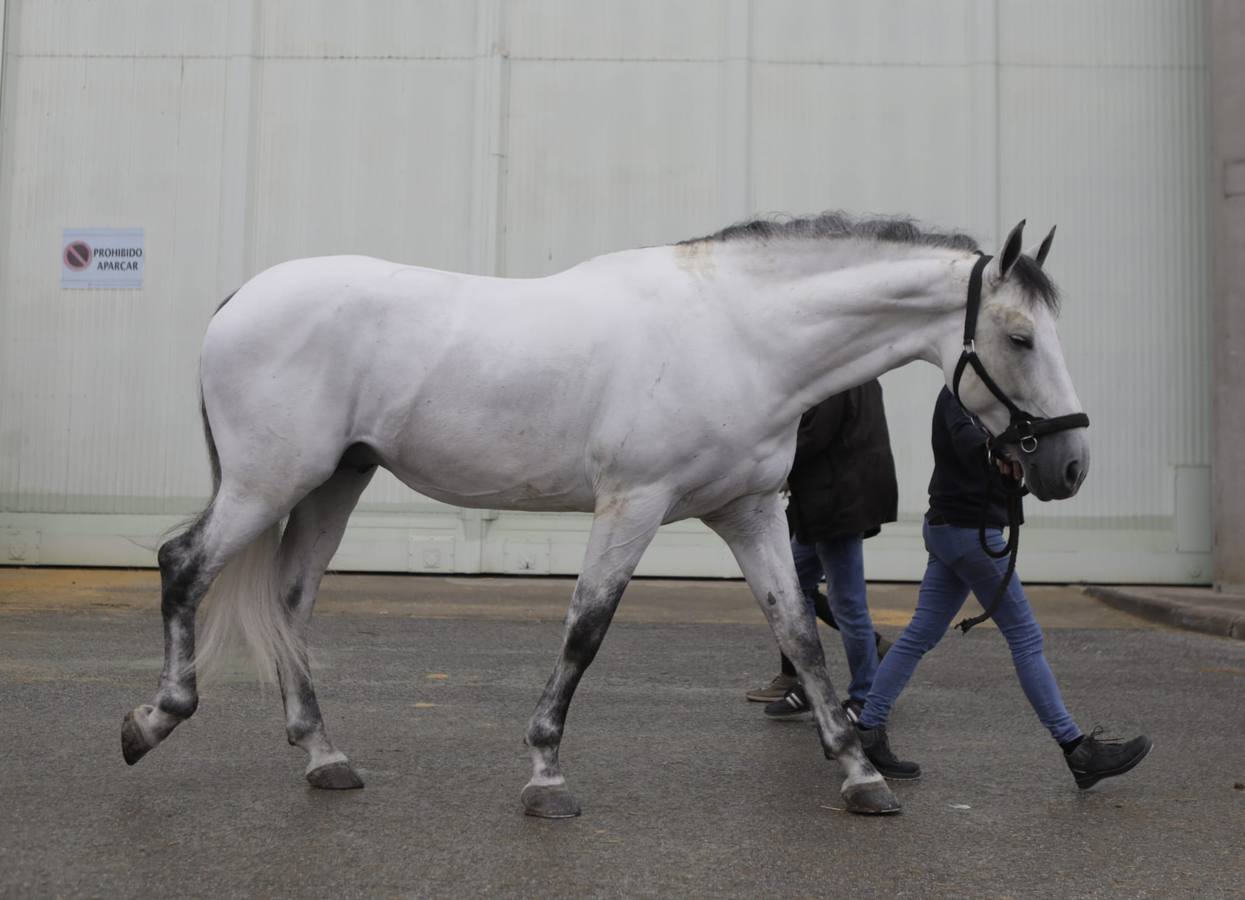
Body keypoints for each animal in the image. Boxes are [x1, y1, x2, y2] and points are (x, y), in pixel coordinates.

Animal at [120, 213, 1088, 818]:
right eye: (1018, 338)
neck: (738, 336)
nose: (1069, 466)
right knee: (183, 565)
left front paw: (858, 775)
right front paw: (546, 776)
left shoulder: (748, 515)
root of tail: (242, 300)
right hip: (267, 483)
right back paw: (153, 721)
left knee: (288, 602)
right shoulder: (634, 503)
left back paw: (324, 758)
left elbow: (802, 640)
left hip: (332, 483)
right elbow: (586, 630)